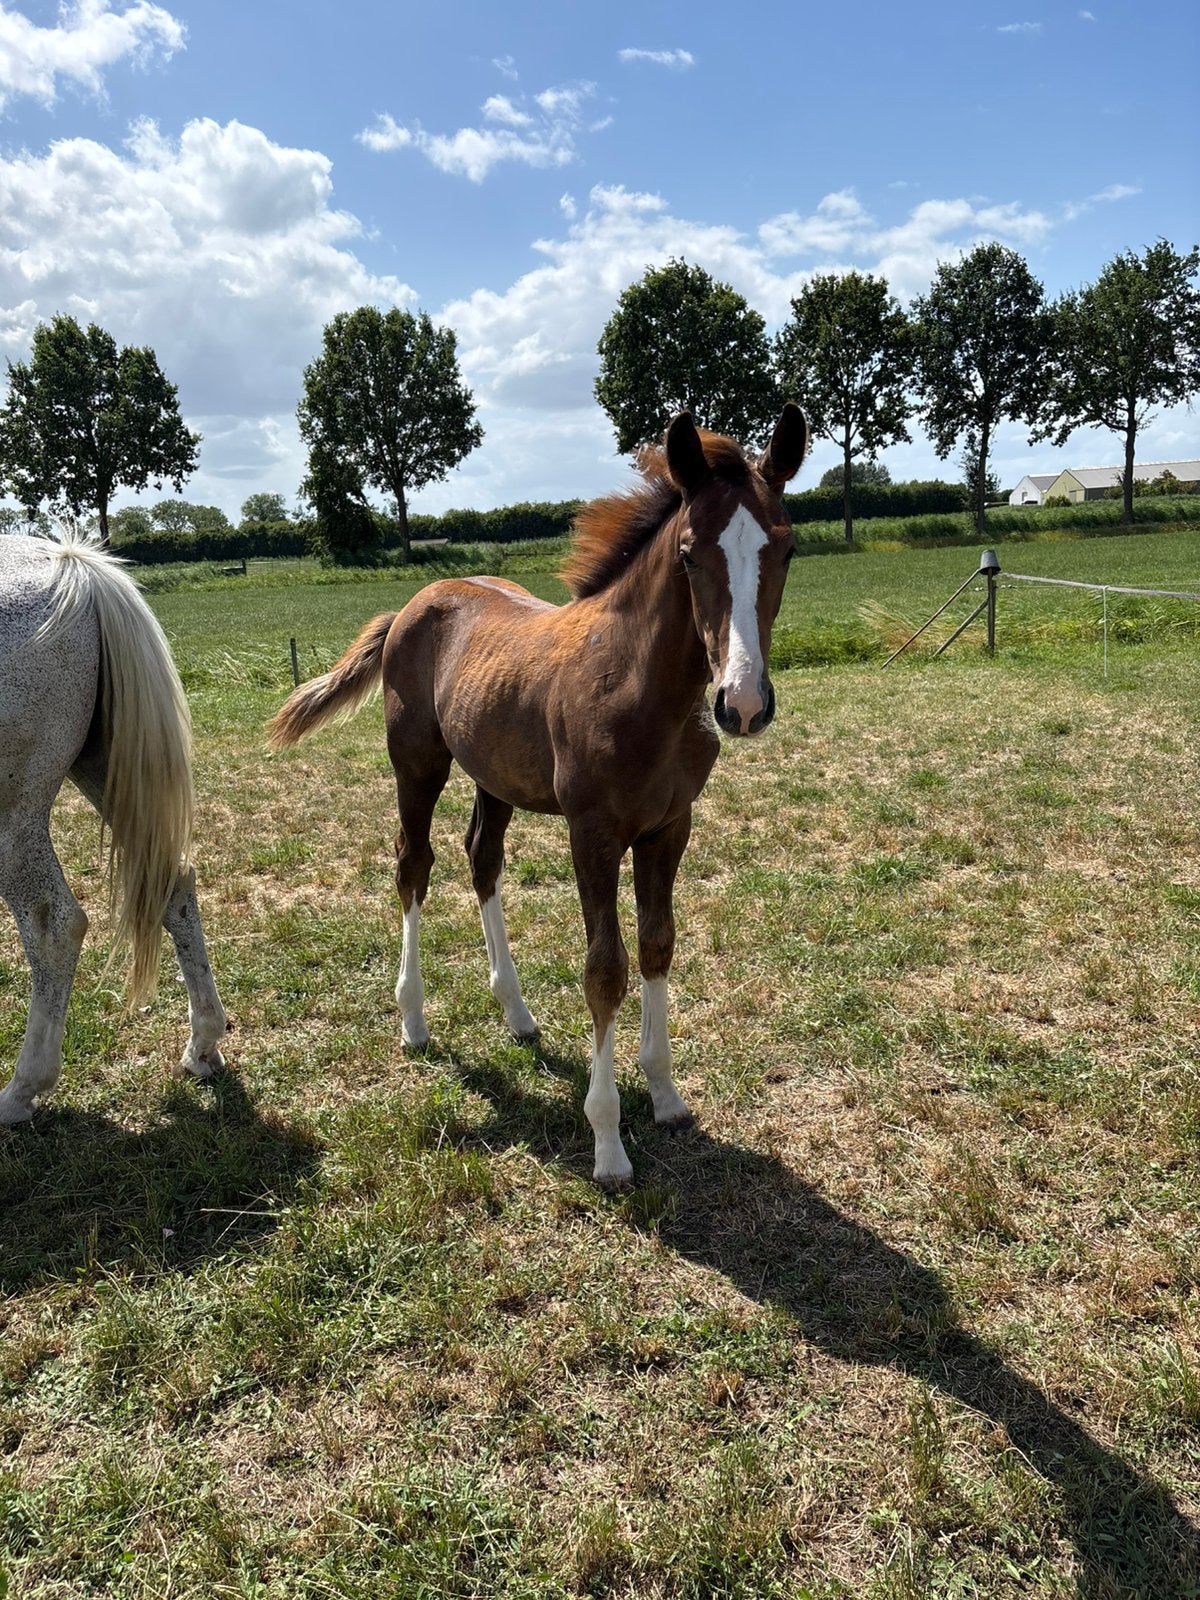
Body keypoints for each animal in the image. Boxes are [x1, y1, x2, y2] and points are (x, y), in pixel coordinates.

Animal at [0, 533, 227, 1122]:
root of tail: (72, 568)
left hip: (13, 814)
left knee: (54, 925)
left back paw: (20, 1091)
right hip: (104, 769)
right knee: (174, 884)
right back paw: (203, 1045)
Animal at [268, 406, 808, 1185]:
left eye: (786, 549)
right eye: (687, 553)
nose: (740, 703)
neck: (640, 688)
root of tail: (411, 605)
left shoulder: (670, 827)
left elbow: (657, 945)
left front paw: (666, 1095)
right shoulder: (594, 831)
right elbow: (605, 969)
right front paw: (609, 1143)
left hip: (493, 775)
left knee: (481, 859)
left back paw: (517, 1015)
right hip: (418, 764)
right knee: (413, 865)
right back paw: (414, 1022)